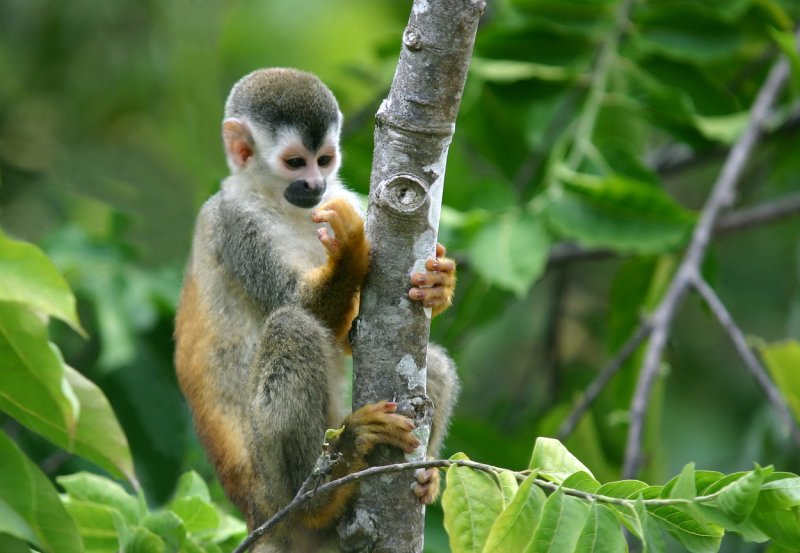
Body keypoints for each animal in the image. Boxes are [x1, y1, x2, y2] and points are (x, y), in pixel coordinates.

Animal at [176, 69, 460, 552]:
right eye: (295, 163)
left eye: (324, 160)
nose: (314, 185)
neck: (276, 202)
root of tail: (258, 519)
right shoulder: (236, 222)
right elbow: (303, 306)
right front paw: (348, 252)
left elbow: (349, 334)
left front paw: (440, 283)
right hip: (267, 488)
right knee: (291, 326)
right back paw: (323, 486)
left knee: (432, 363)